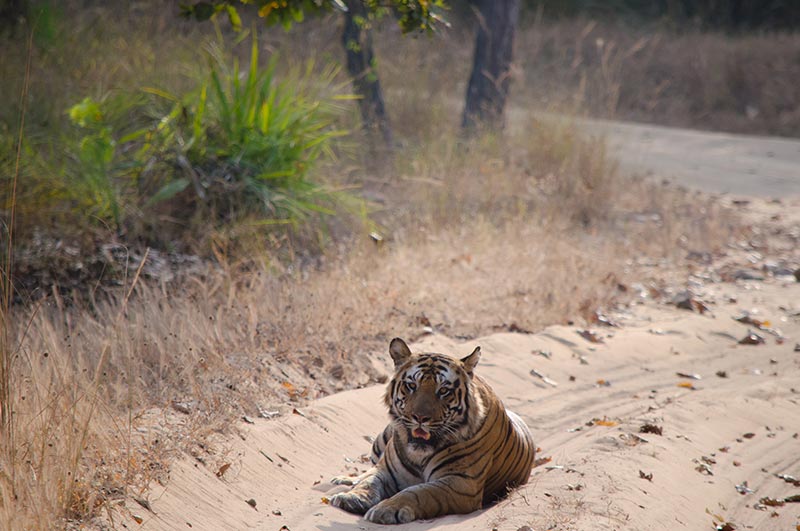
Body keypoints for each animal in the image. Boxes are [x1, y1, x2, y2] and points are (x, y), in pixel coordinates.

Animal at [328, 336, 536, 524]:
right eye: (411, 386)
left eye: (443, 391)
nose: (420, 418)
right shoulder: (385, 469)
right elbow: (369, 481)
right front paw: (351, 497)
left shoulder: (460, 483)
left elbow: (418, 492)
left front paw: (387, 508)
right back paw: (343, 480)